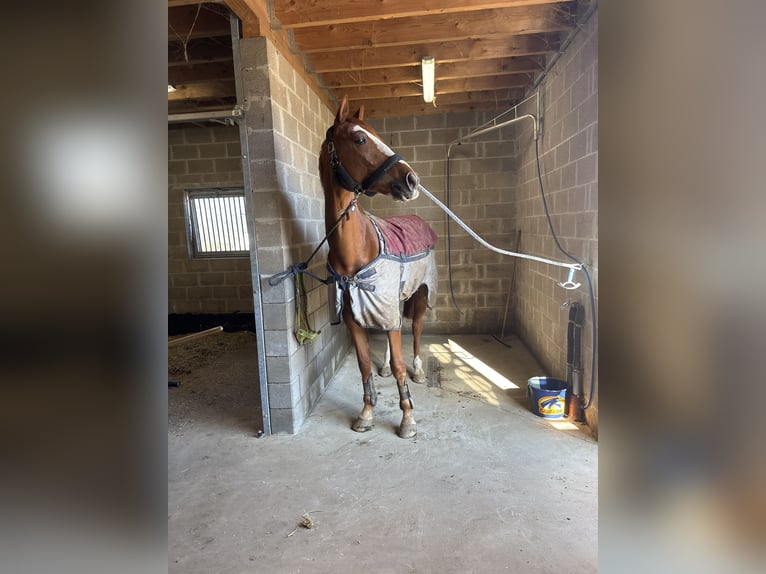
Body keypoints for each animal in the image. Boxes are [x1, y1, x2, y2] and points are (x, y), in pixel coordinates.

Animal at [319, 96, 438, 439]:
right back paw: (384, 365)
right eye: (360, 139)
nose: (412, 181)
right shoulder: (354, 318)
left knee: (416, 329)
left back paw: (419, 369)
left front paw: (408, 418)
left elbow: (400, 365)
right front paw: (366, 413)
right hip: (392, 303)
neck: (357, 251)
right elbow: (363, 365)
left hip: (421, 296)